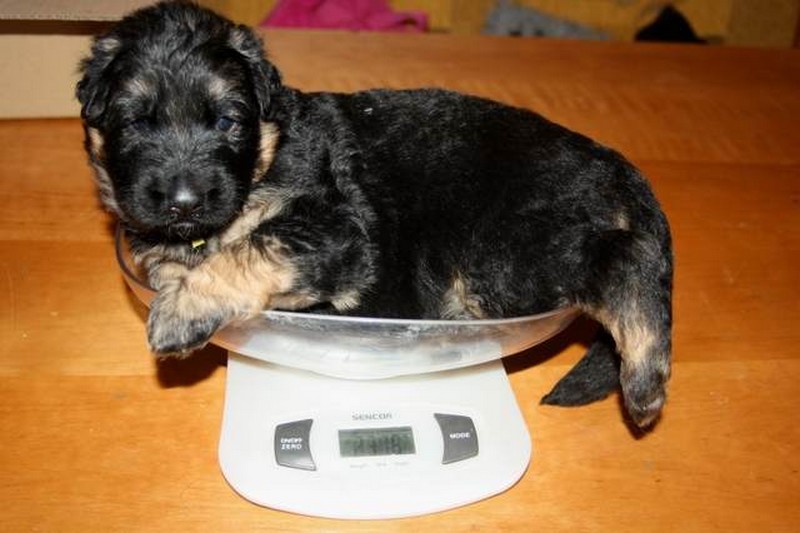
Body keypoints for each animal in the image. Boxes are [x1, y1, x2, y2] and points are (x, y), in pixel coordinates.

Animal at [77, 1, 672, 428]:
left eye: (227, 121)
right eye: (135, 122)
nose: (184, 201)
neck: (270, 150)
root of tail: (608, 160)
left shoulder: (342, 233)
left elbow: (257, 245)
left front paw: (184, 309)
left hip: (504, 257)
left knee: (622, 259)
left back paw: (645, 378)